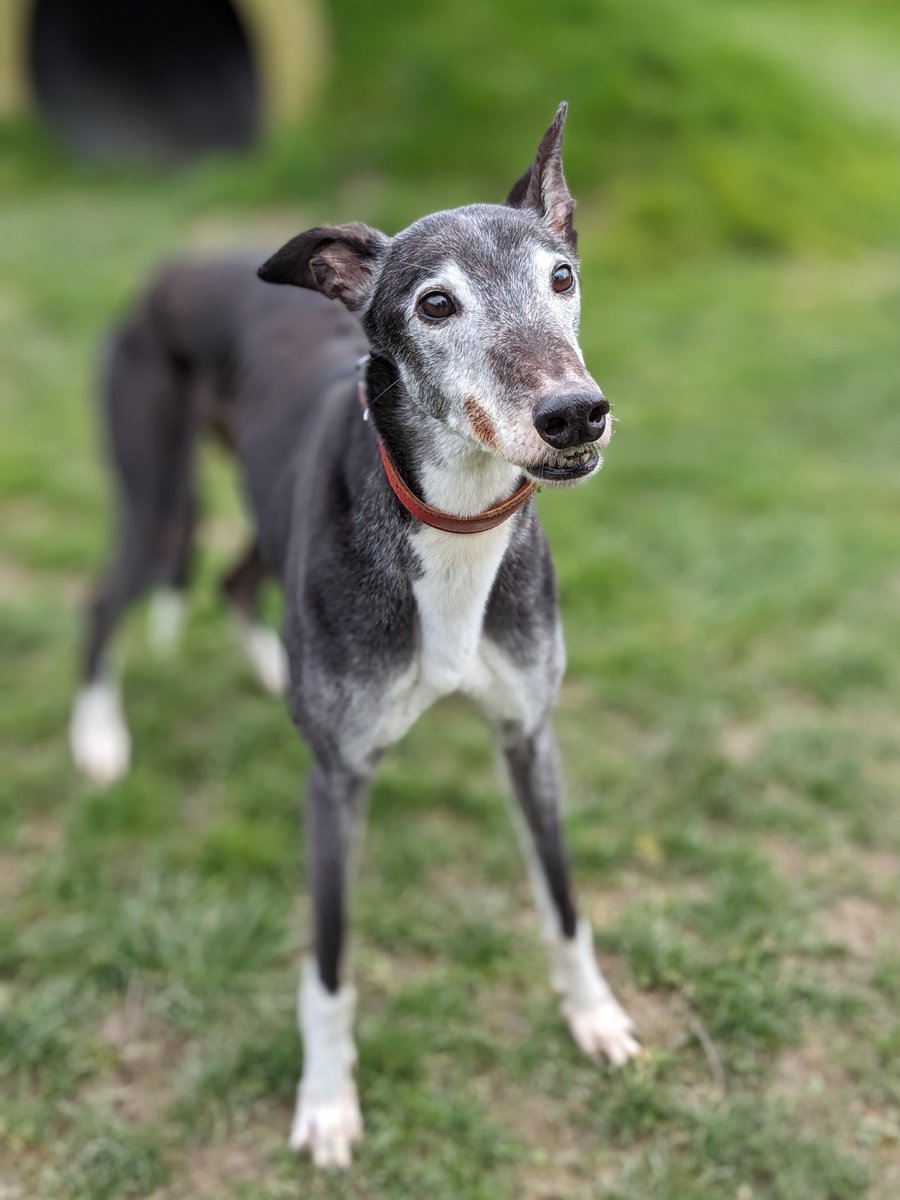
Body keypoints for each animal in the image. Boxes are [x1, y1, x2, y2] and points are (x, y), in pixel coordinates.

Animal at [72, 108, 643, 1166]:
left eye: (561, 277)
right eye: (434, 304)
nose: (575, 415)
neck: (452, 523)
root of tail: (178, 263)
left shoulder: (529, 735)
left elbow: (564, 904)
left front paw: (595, 1018)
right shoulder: (336, 782)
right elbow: (331, 966)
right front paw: (328, 1103)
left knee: (234, 578)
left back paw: (269, 669)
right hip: (157, 497)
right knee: (104, 602)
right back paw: (97, 737)